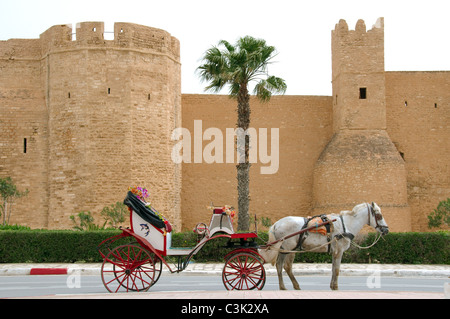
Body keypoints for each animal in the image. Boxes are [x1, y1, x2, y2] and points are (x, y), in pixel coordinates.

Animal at [258, 204, 388, 292]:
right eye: (379, 215)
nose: (386, 230)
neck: (346, 224)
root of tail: (276, 224)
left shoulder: (334, 251)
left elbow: (333, 269)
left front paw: (332, 285)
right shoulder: (339, 250)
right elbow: (337, 269)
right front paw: (336, 287)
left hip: (286, 248)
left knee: (281, 266)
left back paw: (286, 286)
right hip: (288, 248)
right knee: (285, 266)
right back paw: (291, 286)